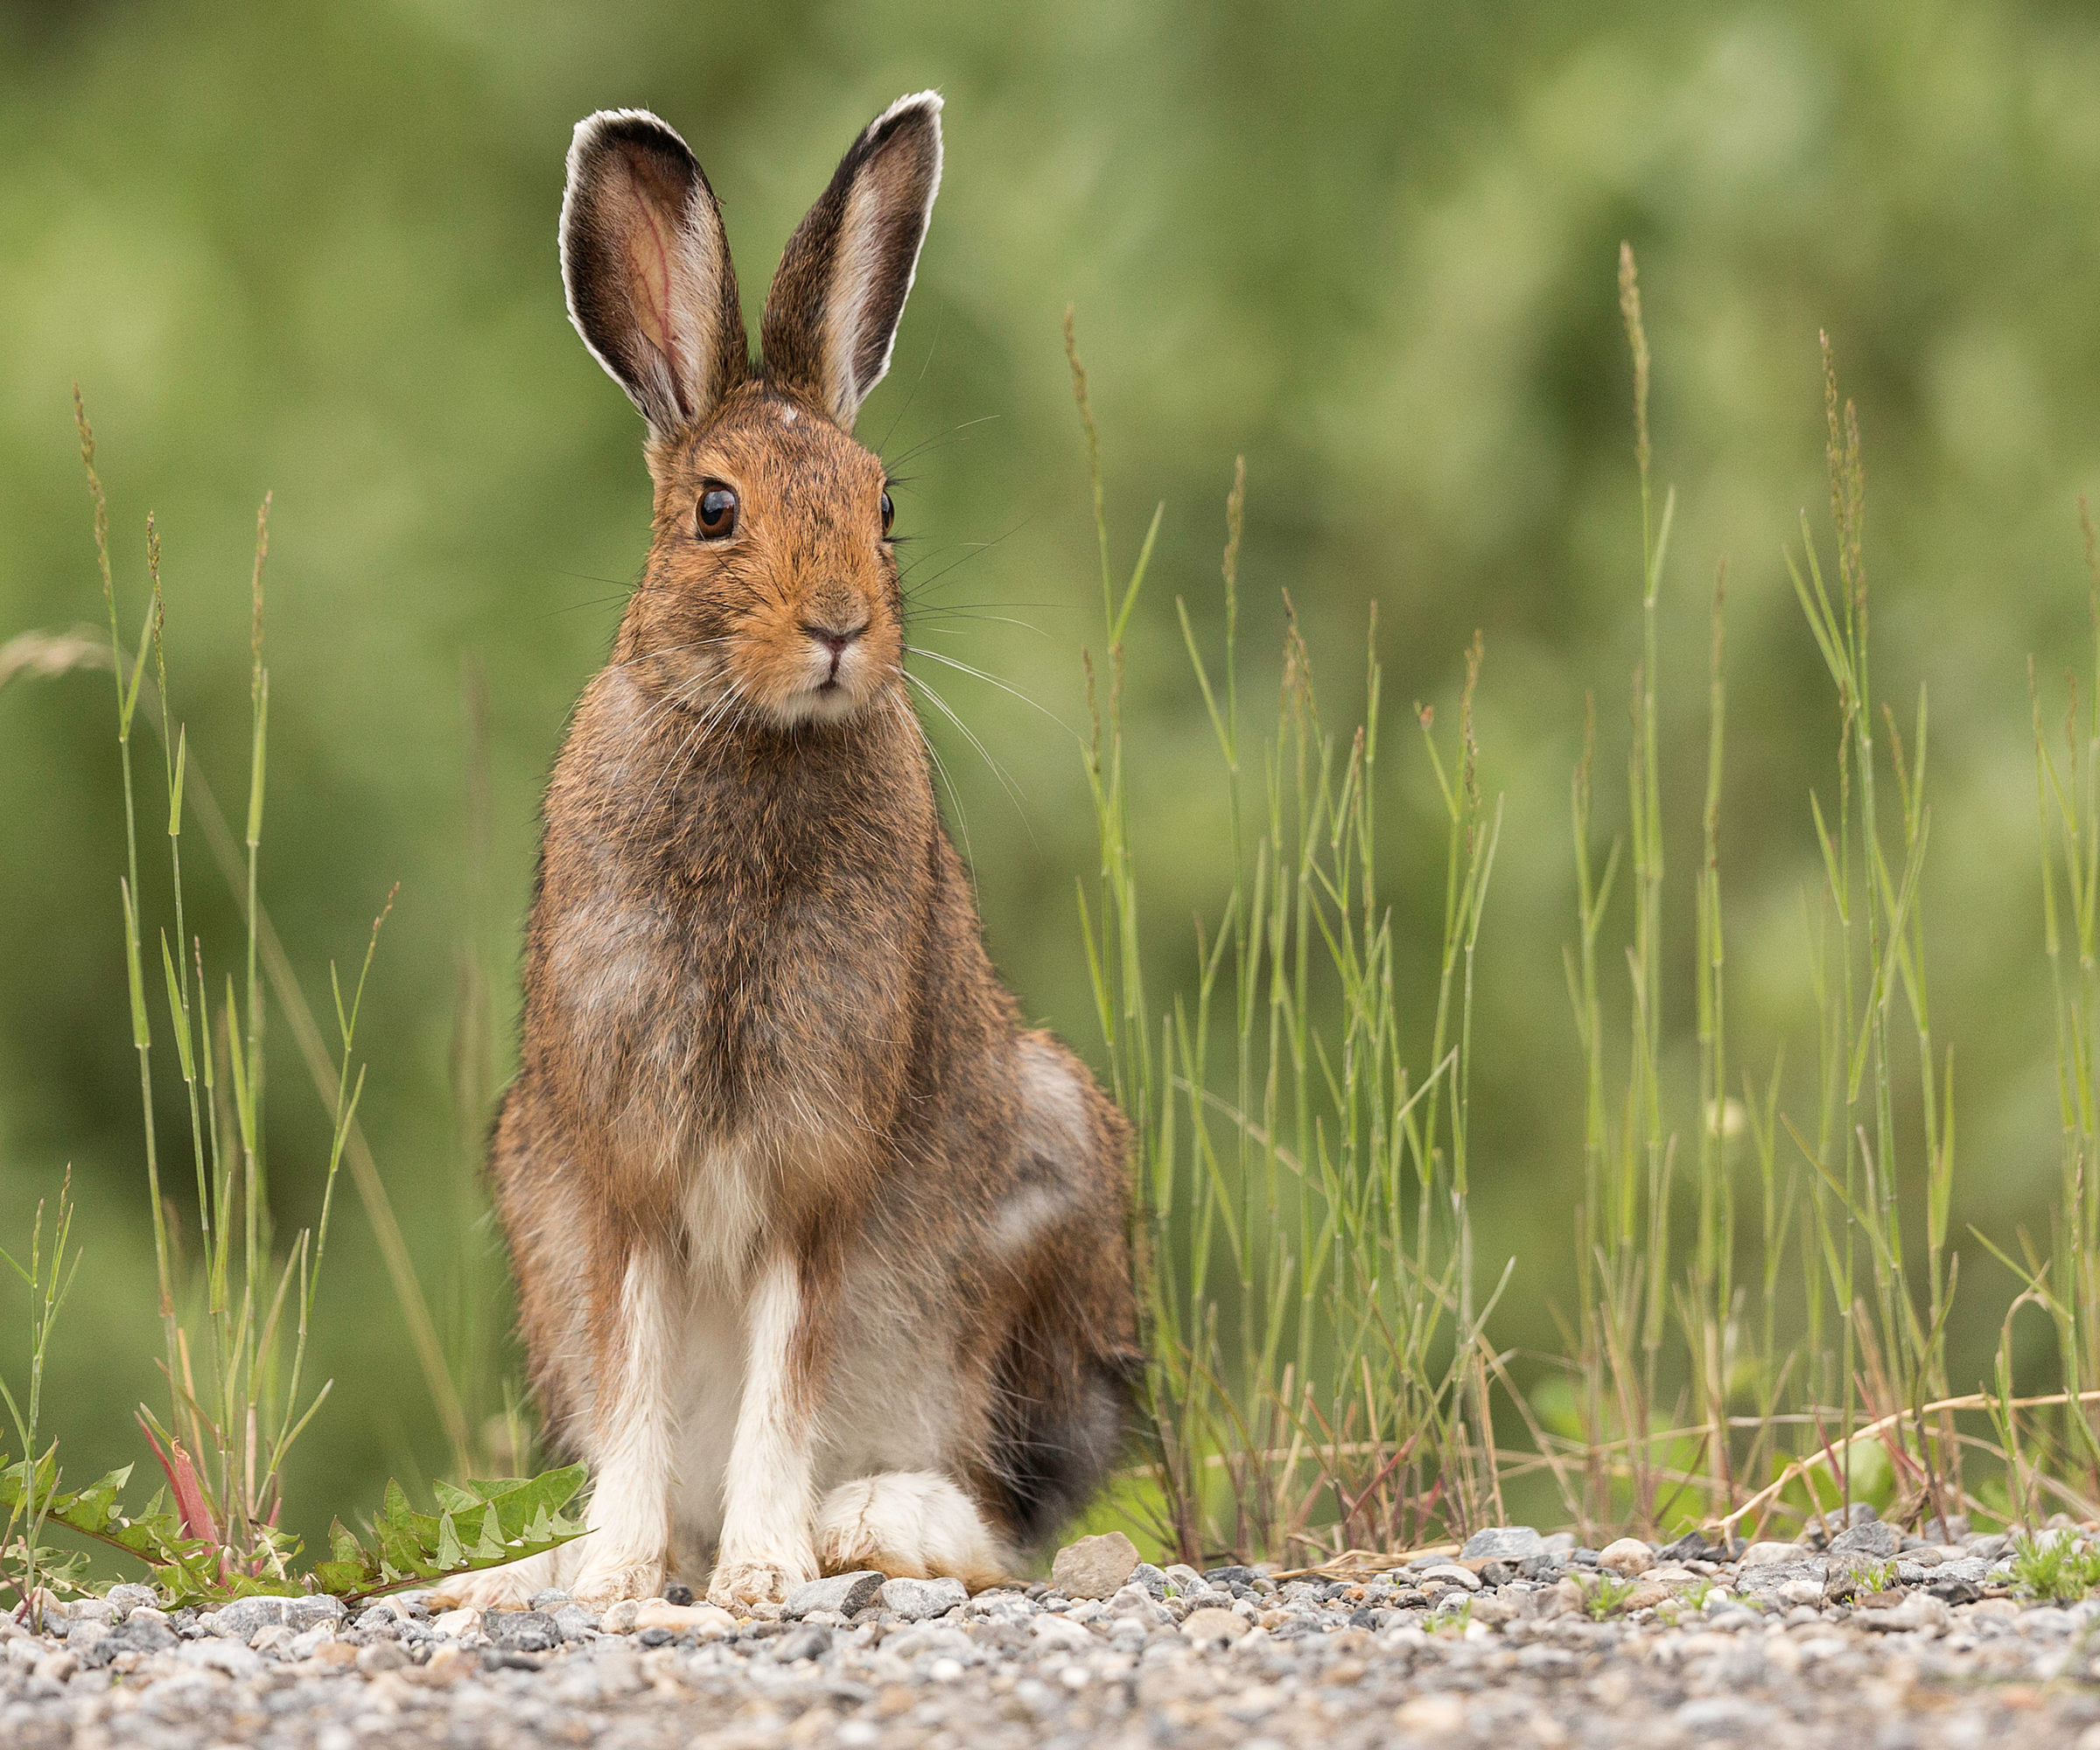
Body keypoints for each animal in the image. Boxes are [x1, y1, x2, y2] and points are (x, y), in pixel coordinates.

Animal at [431, 92, 1140, 1613]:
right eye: (715, 509)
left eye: (883, 506)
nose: (838, 627)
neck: (754, 741)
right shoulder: (624, 1160)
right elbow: (641, 1374)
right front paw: (620, 1577)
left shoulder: (817, 1160)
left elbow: (785, 1372)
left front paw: (761, 1573)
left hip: (1046, 1196)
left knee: (1008, 1511)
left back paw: (874, 1522)